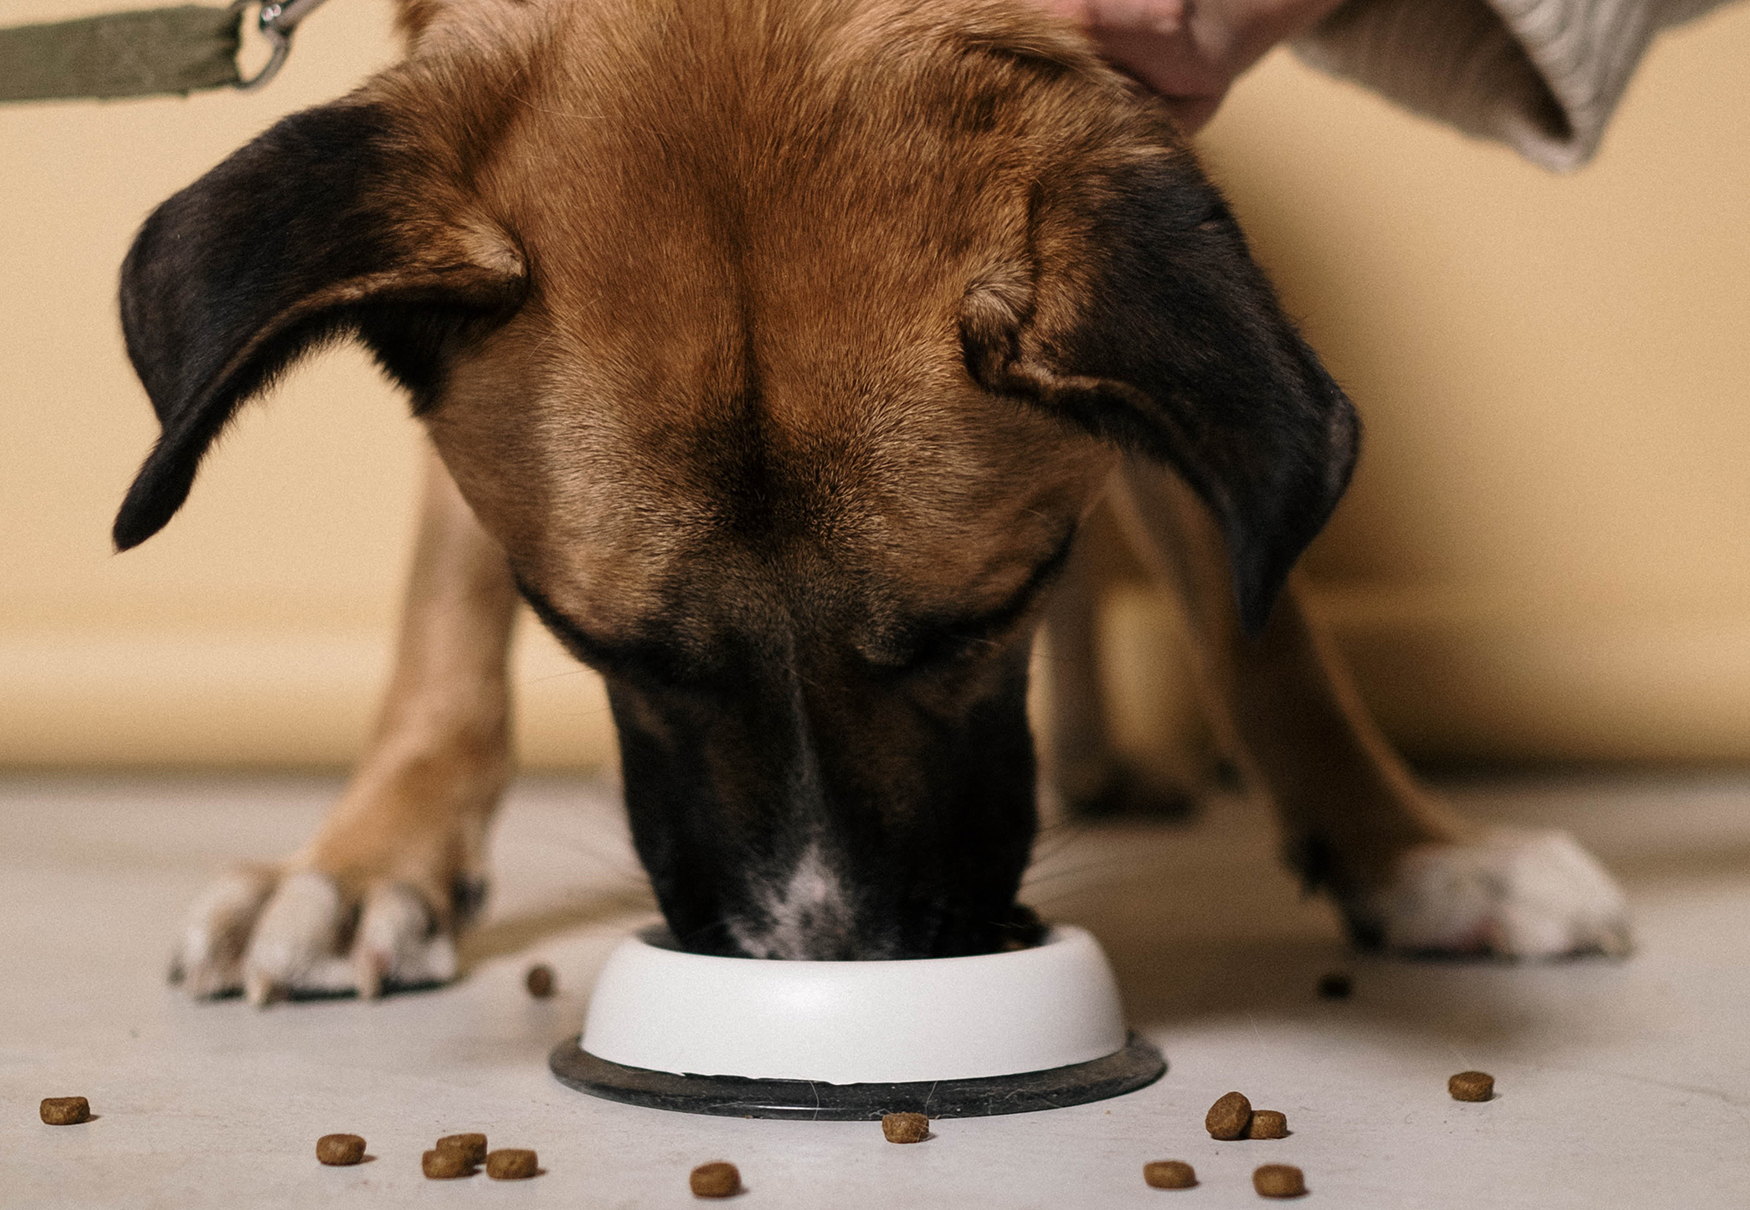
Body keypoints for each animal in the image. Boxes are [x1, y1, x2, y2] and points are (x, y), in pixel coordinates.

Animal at [116, 0, 1631, 1001]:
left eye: (979, 621)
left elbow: (1262, 625)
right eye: (601, 647)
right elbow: (447, 611)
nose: (833, 955)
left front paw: (1411, 850)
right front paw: (368, 854)